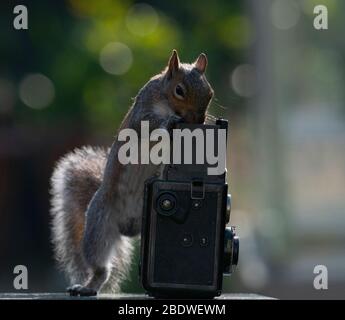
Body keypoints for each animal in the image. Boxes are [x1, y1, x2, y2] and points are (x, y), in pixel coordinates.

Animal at [49, 50, 214, 298]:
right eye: (179, 90)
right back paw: (88, 286)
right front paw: (169, 123)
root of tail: (127, 227)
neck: (165, 99)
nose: (199, 121)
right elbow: (147, 123)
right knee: (100, 267)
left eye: (210, 93)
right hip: (99, 224)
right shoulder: (141, 113)